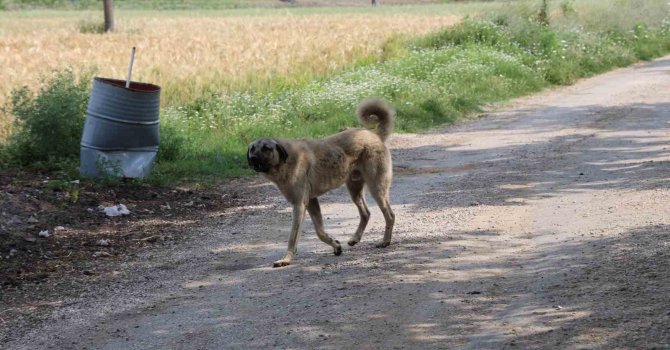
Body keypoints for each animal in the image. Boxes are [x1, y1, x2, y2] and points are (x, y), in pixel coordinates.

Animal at [251, 98, 400, 268]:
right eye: (252, 148)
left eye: (266, 148)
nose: (252, 159)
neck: (285, 161)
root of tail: (374, 134)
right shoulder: (311, 202)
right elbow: (320, 232)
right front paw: (336, 245)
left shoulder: (299, 205)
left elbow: (293, 237)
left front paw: (286, 259)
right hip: (354, 189)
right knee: (366, 213)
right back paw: (355, 239)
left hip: (376, 188)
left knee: (390, 215)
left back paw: (385, 241)